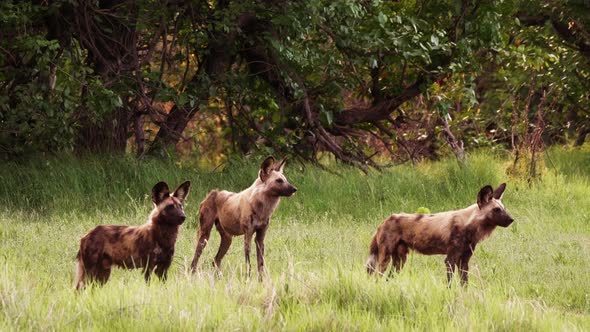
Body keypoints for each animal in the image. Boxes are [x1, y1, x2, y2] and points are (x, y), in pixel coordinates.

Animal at [368, 183, 516, 284]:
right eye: (496, 210)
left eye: (504, 209)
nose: (511, 219)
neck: (469, 225)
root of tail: (385, 221)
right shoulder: (450, 259)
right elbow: (449, 283)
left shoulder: (464, 261)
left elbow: (464, 284)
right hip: (385, 258)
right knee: (377, 277)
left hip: (400, 260)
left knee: (388, 278)